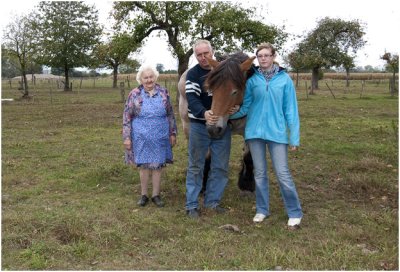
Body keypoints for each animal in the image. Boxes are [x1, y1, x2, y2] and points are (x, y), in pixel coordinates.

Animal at [179, 52, 256, 191]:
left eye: (235, 91)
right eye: (211, 89)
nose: (213, 129)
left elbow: (248, 157)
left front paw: (246, 183)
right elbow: (206, 157)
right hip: (187, 126)